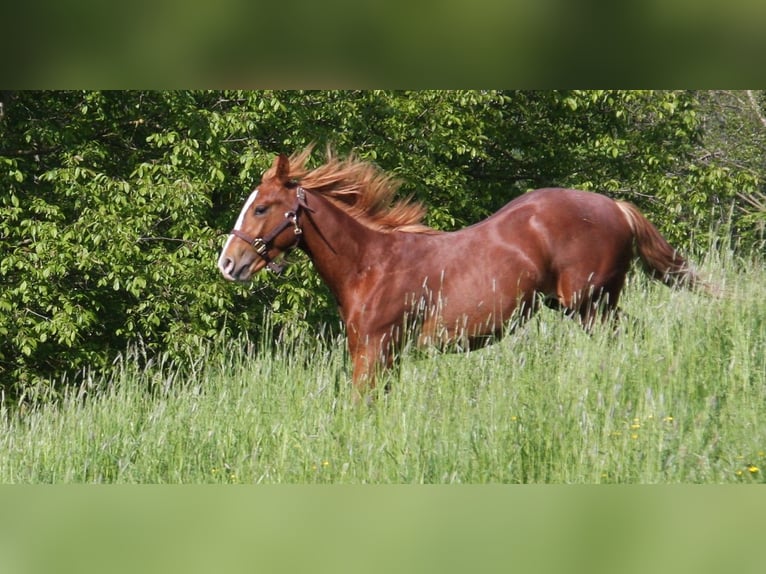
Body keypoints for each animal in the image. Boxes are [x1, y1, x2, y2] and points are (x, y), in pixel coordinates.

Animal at [218, 148, 708, 398]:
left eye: (262, 207)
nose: (227, 263)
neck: (372, 263)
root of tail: (616, 207)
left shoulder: (375, 351)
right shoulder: (379, 353)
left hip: (591, 304)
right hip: (584, 306)